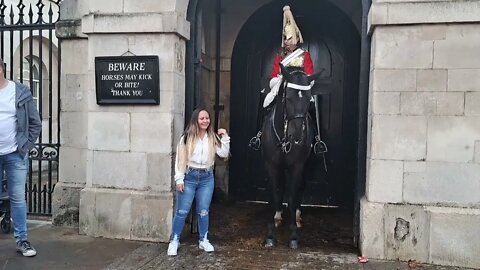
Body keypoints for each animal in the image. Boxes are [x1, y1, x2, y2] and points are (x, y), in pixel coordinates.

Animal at [260, 63, 320, 249]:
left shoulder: (297, 166)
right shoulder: (271, 165)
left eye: (308, 98)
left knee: (300, 187)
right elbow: (274, 193)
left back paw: (298, 216)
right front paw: (270, 234)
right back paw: (278, 215)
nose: (298, 136)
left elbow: (293, 197)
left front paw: (293, 235)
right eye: (288, 97)